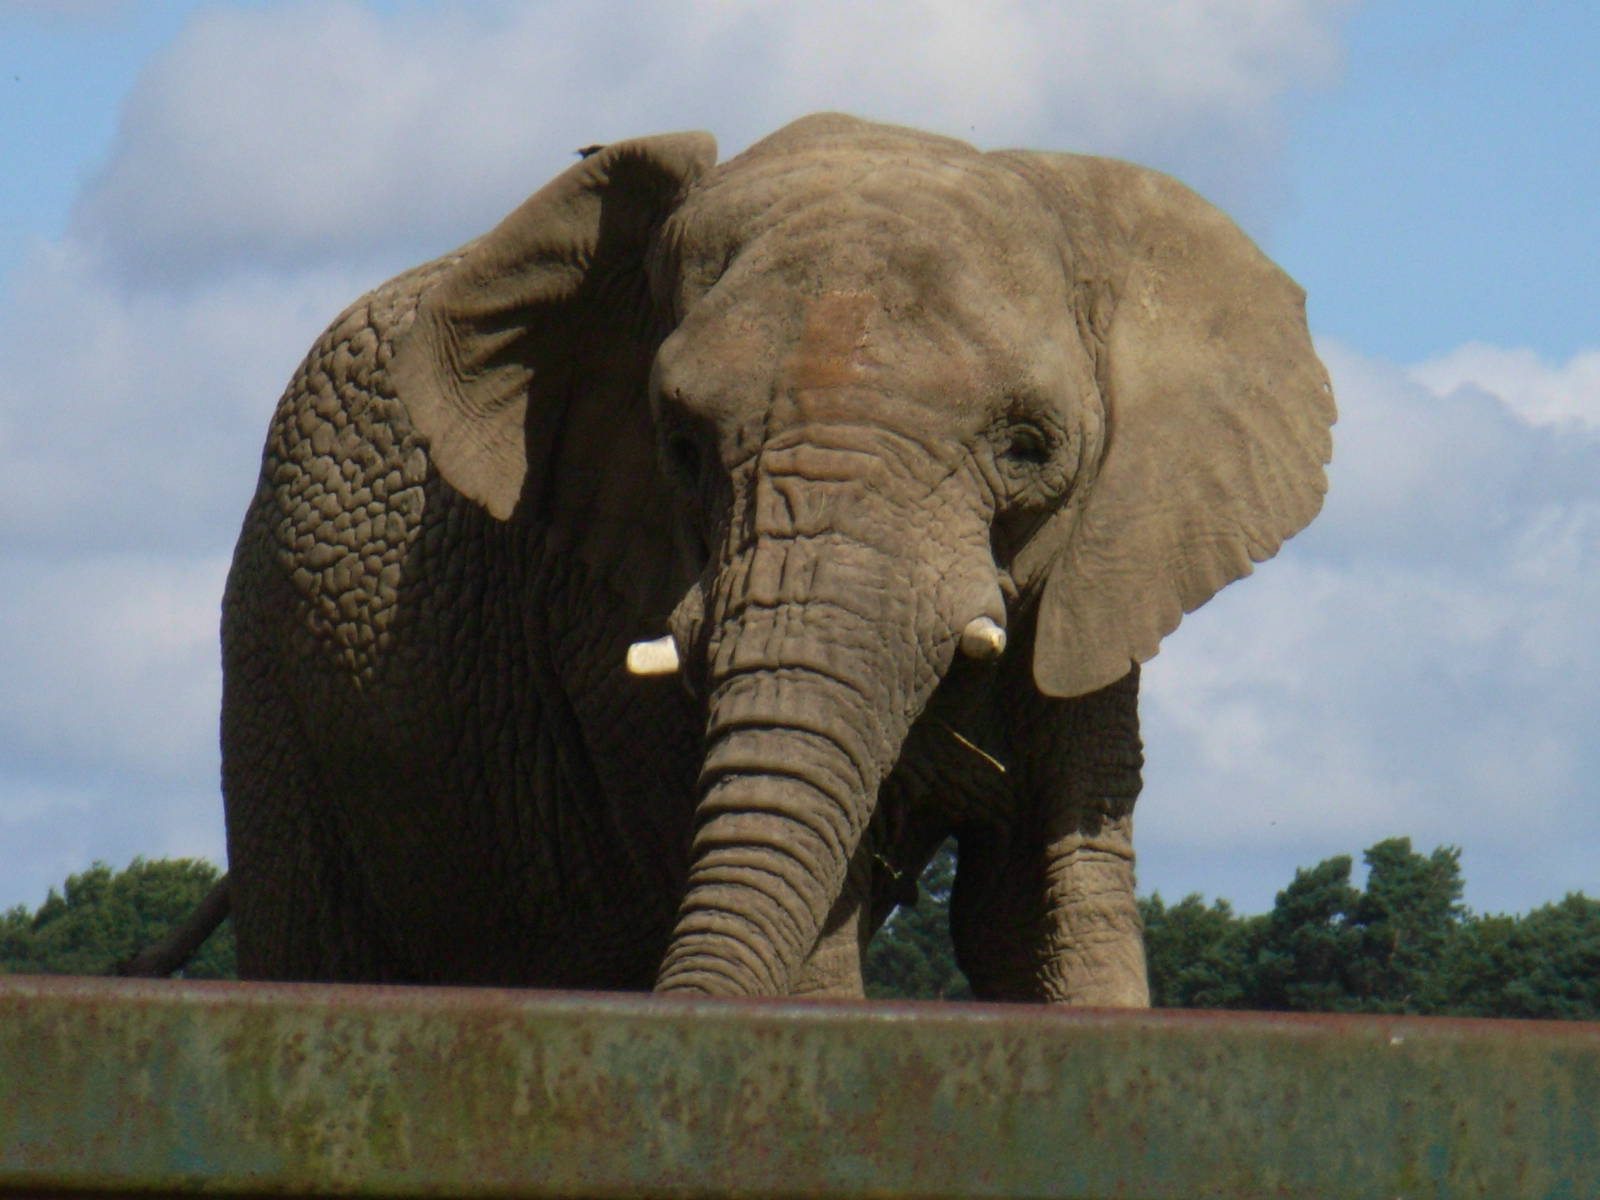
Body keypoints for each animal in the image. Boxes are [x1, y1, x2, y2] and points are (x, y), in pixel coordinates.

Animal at [220, 113, 1333, 1004]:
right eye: (680, 447)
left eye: (1029, 447)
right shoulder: (601, 615)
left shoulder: (1098, 577)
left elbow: (1037, 915)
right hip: (275, 683)